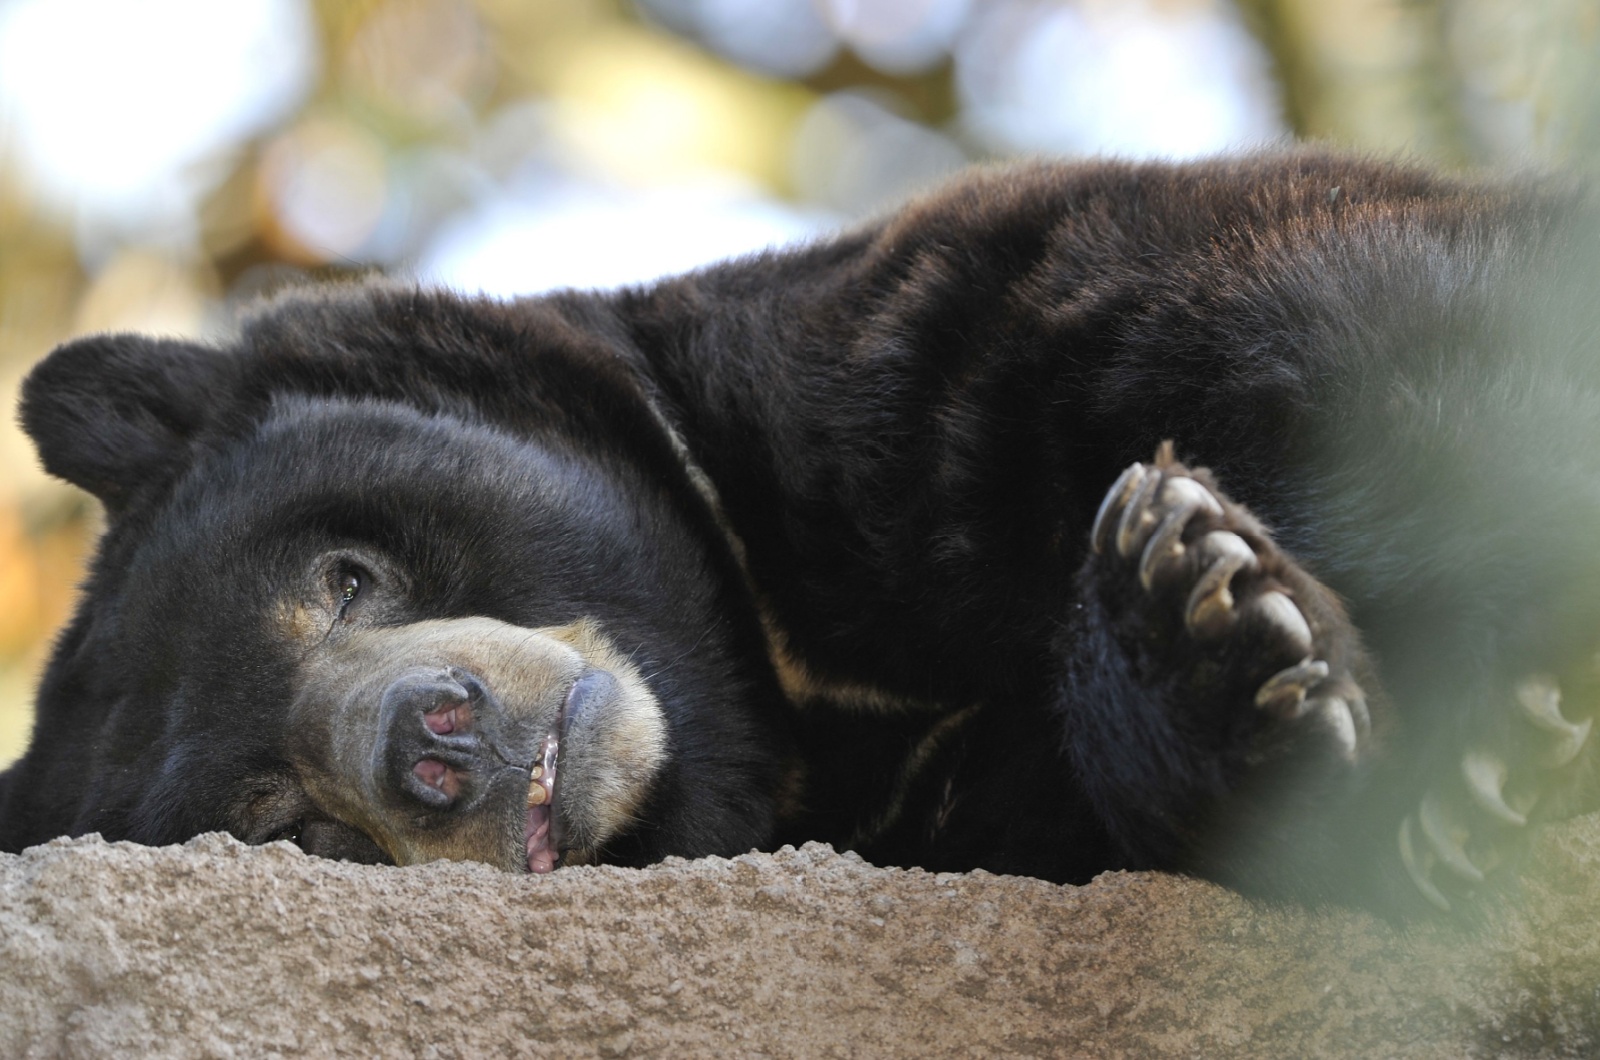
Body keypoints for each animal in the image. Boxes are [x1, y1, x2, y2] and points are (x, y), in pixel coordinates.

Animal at [3, 153, 1600, 915]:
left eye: (342, 579)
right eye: (287, 818)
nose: (434, 744)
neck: (774, 680)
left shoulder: (935, 345)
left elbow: (1368, 339)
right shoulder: (941, 810)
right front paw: (1229, 649)